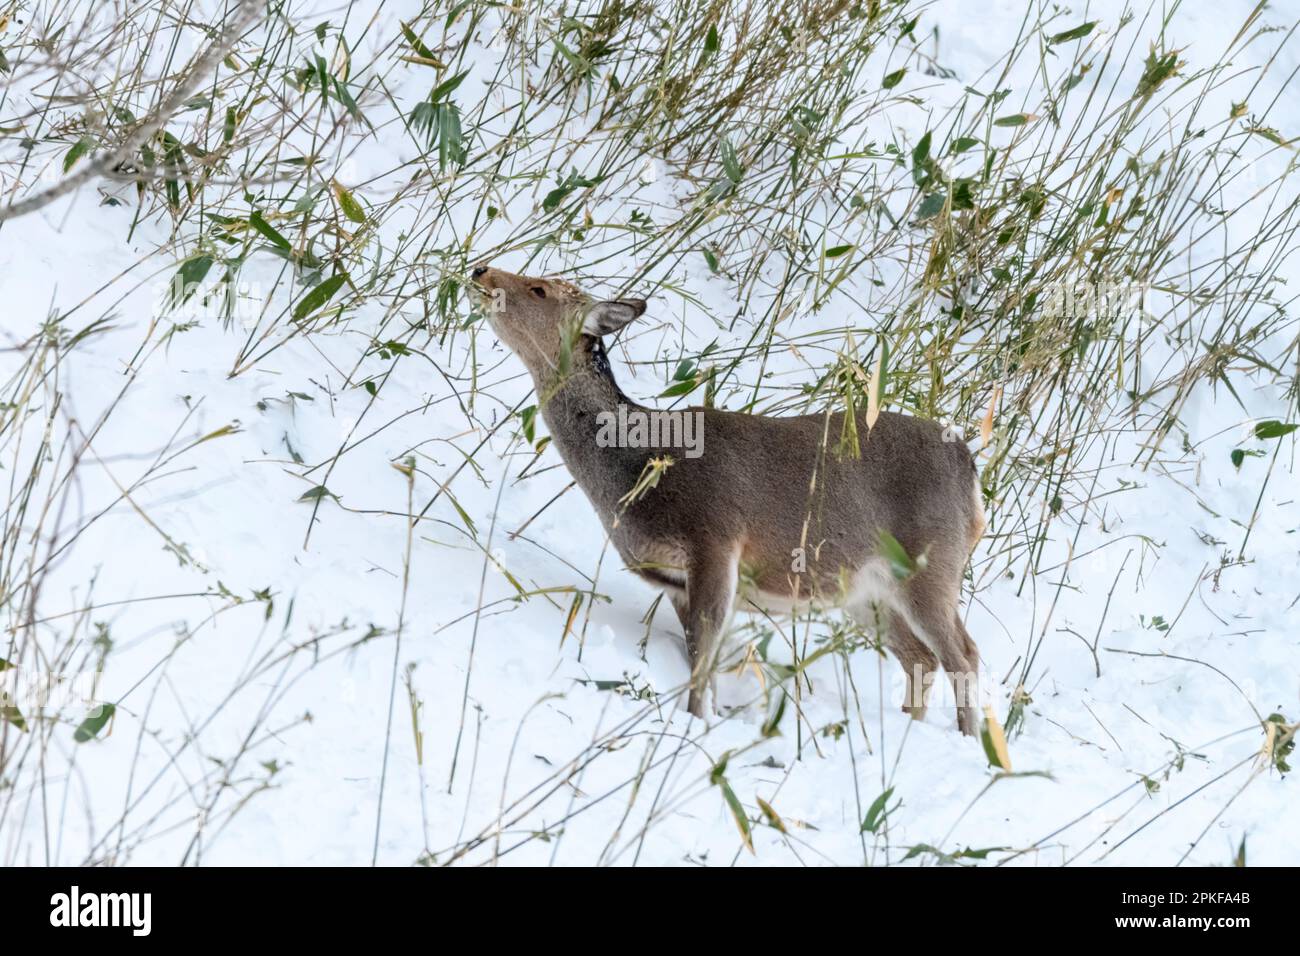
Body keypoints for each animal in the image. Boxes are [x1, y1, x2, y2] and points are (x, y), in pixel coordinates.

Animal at [472, 265, 986, 735]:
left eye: (538, 289)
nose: (481, 271)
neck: (636, 469)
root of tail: (970, 470)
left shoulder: (715, 538)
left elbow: (704, 656)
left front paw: (695, 722)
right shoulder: (673, 580)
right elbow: (702, 658)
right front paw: (706, 720)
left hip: (931, 560)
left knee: (964, 653)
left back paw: (971, 739)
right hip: (866, 590)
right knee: (921, 657)